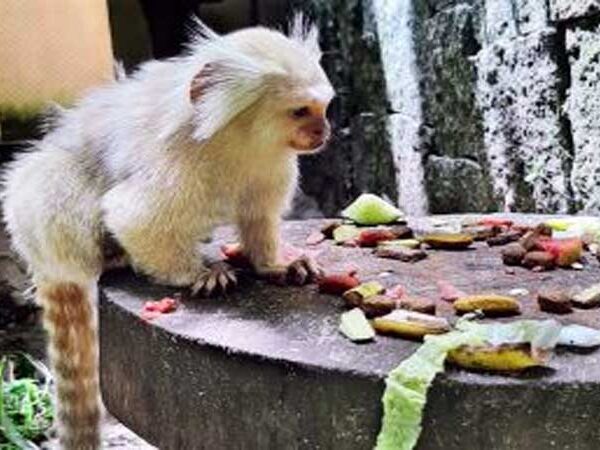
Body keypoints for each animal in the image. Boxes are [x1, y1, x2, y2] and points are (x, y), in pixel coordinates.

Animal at [0, 15, 332, 448]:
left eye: (324, 108)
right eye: (299, 111)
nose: (324, 131)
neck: (238, 142)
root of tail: (40, 256)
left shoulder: (270, 165)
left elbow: (258, 218)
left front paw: (275, 264)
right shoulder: (174, 167)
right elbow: (133, 218)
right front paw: (198, 275)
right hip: (41, 215)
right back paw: (113, 257)